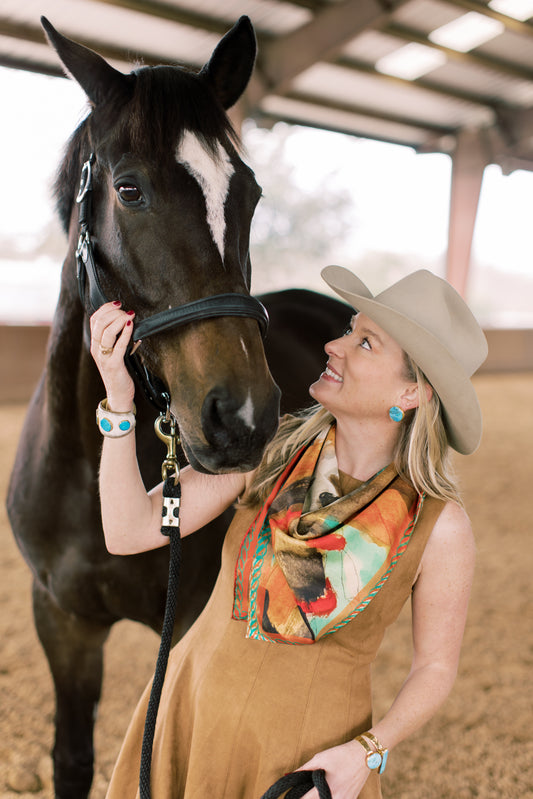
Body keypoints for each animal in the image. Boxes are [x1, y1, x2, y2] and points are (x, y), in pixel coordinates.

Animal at [6, 18, 351, 799]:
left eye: (249, 193)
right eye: (128, 189)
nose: (242, 418)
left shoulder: (187, 617)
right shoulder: (62, 622)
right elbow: (72, 760)